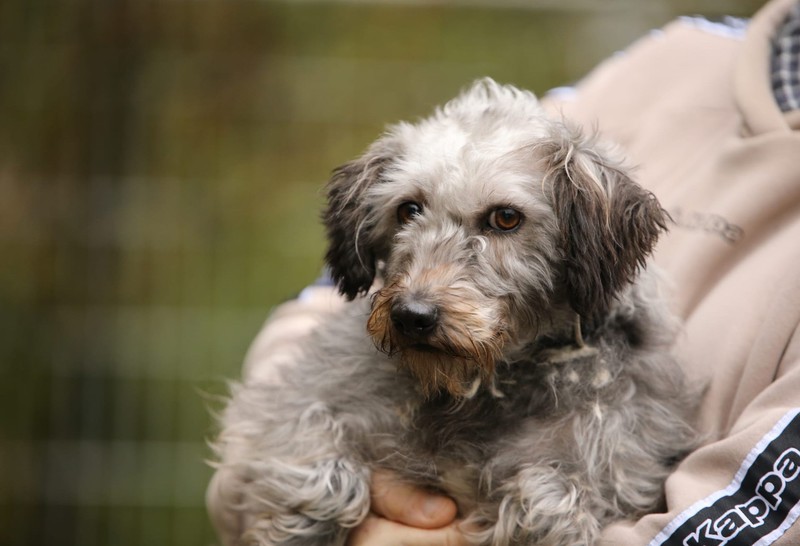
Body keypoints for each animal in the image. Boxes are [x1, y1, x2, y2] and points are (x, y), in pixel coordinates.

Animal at [214, 79, 699, 546]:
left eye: (506, 218)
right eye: (408, 208)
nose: (411, 316)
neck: (475, 387)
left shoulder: (617, 462)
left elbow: (549, 501)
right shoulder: (278, 411)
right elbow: (315, 459)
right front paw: (303, 523)